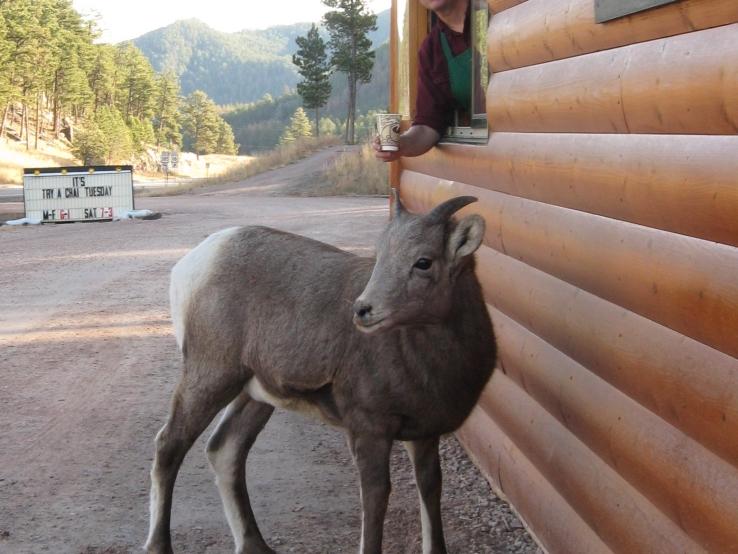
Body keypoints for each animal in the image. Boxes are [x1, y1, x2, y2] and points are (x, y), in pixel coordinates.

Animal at [145, 194, 494, 552]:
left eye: (423, 262)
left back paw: (256, 545)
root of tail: (194, 262)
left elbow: (430, 489)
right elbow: (376, 497)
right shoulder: (369, 428)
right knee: (170, 446)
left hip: (254, 394)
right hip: (210, 377)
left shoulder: (423, 435)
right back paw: (160, 545)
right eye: (381, 255)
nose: (362, 310)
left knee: (225, 450)